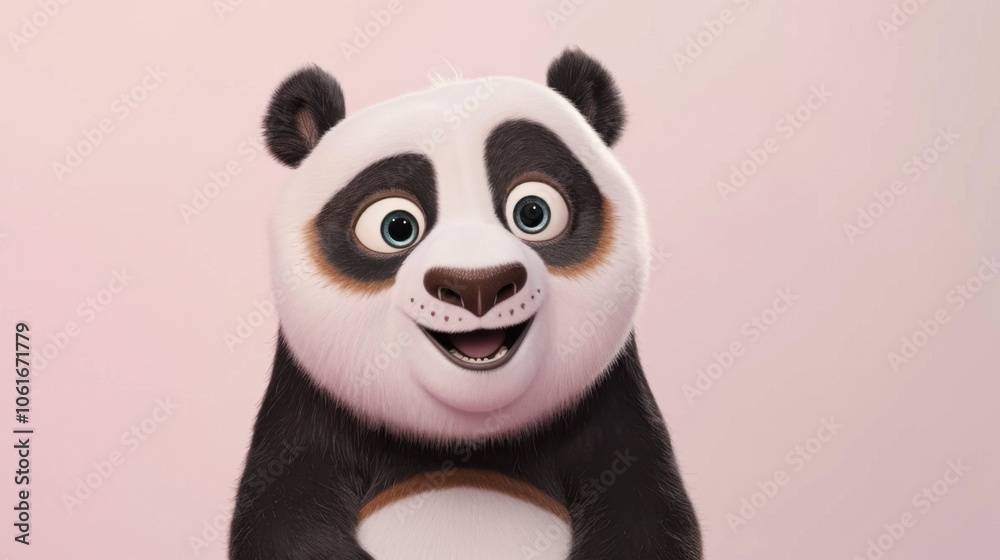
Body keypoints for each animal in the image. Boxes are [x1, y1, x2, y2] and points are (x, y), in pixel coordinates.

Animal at [229, 49, 702, 560]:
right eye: (397, 227)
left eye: (533, 213)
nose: (478, 285)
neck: (463, 441)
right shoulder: (303, 415)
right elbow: (284, 521)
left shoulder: (613, 407)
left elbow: (647, 514)